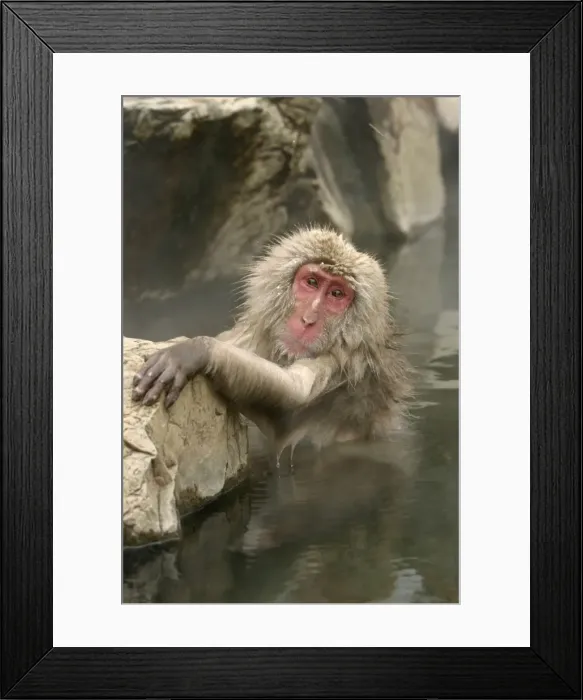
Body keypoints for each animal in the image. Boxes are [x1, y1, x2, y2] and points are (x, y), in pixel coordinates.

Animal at [131, 225, 414, 458]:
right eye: (312, 282)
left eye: (336, 294)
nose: (308, 319)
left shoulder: (343, 363)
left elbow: (290, 405)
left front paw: (199, 350)